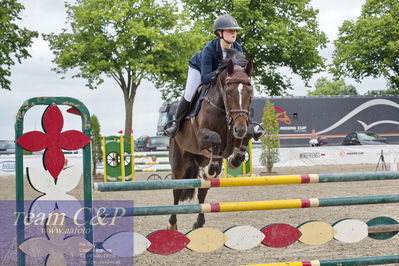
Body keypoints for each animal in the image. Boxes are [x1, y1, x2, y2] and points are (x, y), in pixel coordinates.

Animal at [168, 48, 255, 230]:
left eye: (250, 92)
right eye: (228, 92)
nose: (239, 129)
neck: (223, 110)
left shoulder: (237, 133)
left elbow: (249, 133)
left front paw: (236, 159)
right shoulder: (202, 137)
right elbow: (215, 138)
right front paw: (216, 165)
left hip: (200, 160)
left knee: (202, 191)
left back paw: (199, 222)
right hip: (179, 164)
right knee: (177, 190)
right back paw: (172, 224)